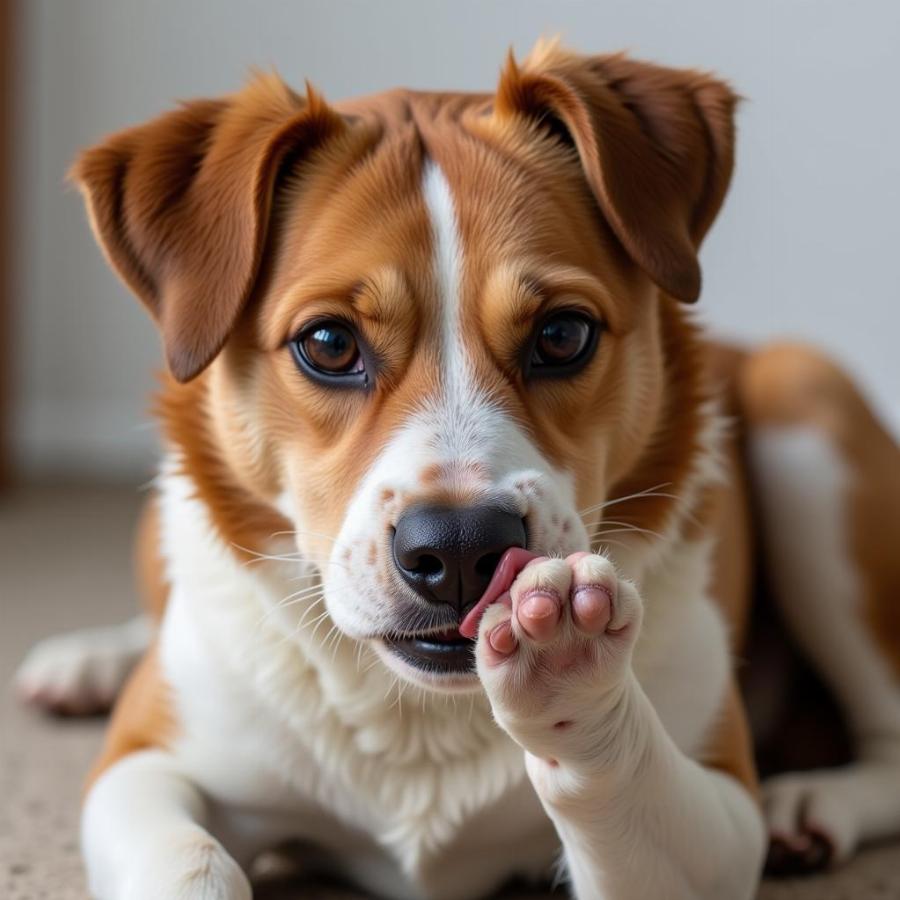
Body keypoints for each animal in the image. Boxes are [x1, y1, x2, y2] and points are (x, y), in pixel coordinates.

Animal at [14, 40, 900, 900]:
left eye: (562, 335)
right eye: (328, 343)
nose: (463, 548)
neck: (420, 719)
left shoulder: (720, 815)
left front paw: (570, 678)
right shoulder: (143, 768)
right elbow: (193, 861)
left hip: (803, 404)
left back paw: (813, 803)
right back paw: (90, 662)